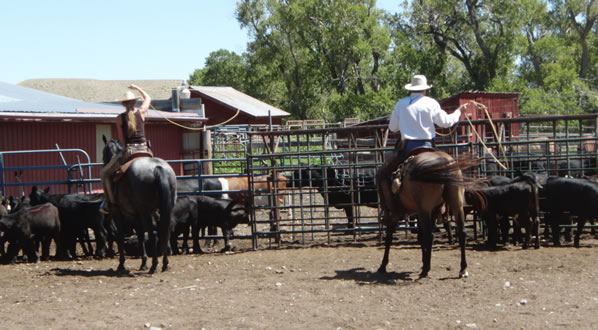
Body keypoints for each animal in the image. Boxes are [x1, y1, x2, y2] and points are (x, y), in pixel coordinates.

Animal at [103, 137, 177, 274]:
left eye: (104, 152)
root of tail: (157, 168)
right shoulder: (137, 215)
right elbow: (141, 235)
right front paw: (143, 263)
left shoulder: (118, 213)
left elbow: (120, 236)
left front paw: (121, 264)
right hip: (165, 208)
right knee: (164, 229)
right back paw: (165, 264)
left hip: (146, 212)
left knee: (153, 233)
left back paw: (154, 265)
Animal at [380, 151, 482, 280]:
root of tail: (444, 162)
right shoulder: (422, 214)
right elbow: (420, 237)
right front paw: (423, 261)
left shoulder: (397, 215)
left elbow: (389, 238)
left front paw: (383, 265)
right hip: (456, 204)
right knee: (462, 232)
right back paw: (463, 269)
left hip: (425, 209)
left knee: (429, 235)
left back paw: (425, 270)